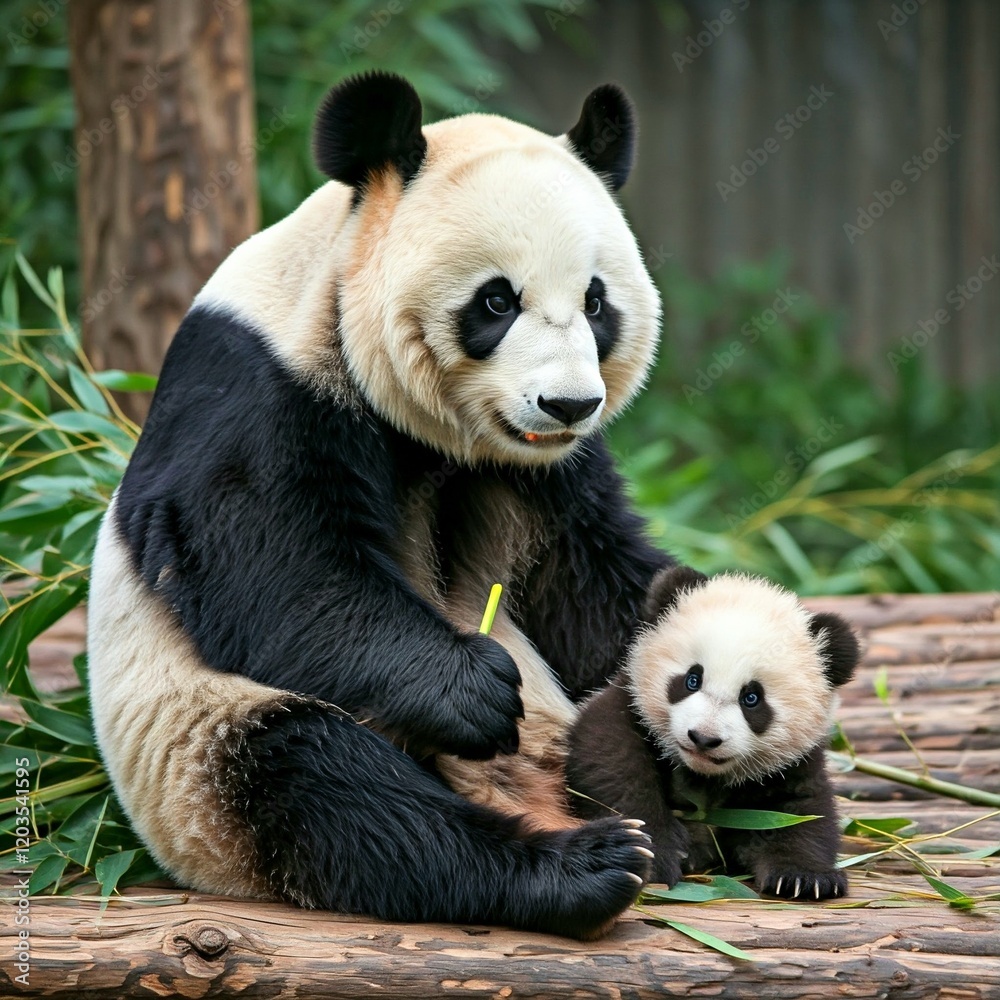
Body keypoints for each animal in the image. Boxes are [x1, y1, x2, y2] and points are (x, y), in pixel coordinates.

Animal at [87, 71, 670, 940]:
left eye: (597, 303)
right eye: (496, 301)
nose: (567, 404)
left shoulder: (546, 473)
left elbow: (595, 586)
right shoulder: (260, 382)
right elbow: (275, 569)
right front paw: (474, 688)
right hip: (199, 752)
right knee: (336, 791)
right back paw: (585, 866)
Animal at [566, 566, 860, 899]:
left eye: (752, 698)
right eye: (692, 679)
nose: (704, 738)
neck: (702, 775)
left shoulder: (790, 765)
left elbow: (800, 812)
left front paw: (804, 877)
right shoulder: (626, 709)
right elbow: (615, 771)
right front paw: (649, 856)